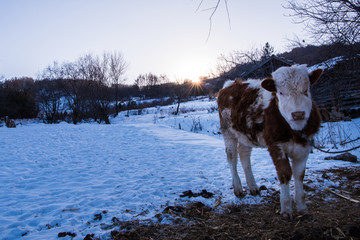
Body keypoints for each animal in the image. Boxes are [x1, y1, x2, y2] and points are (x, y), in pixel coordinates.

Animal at [218, 64, 322, 218]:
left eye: (306, 90)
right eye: (280, 93)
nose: (298, 114)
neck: (295, 131)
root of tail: (232, 83)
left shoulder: (304, 147)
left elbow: (299, 175)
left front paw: (302, 208)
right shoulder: (275, 146)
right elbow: (285, 173)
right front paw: (286, 209)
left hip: (245, 134)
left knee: (244, 155)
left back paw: (253, 186)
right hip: (228, 132)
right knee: (232, 158)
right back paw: (238, 188)